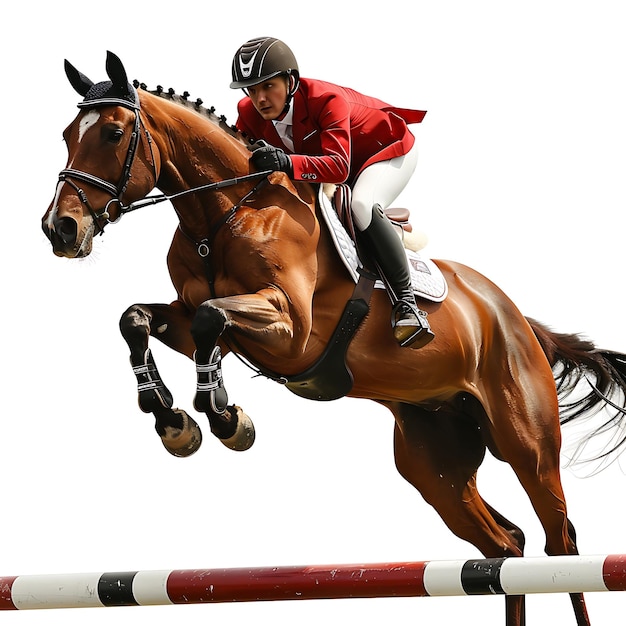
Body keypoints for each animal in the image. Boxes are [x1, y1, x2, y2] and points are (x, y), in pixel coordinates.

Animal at [42, 53, 624, 624]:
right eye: (69, 134)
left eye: (113, 134)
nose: (60, 229)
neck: (224, 213)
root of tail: (513, 316)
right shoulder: (198, 323)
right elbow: (138, 319)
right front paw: (173, 421)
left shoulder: (290, 330)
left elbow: (211, 319)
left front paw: (226, 418)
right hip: (434, 461)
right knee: (506, 547)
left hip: (527, 443)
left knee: (560, 543)